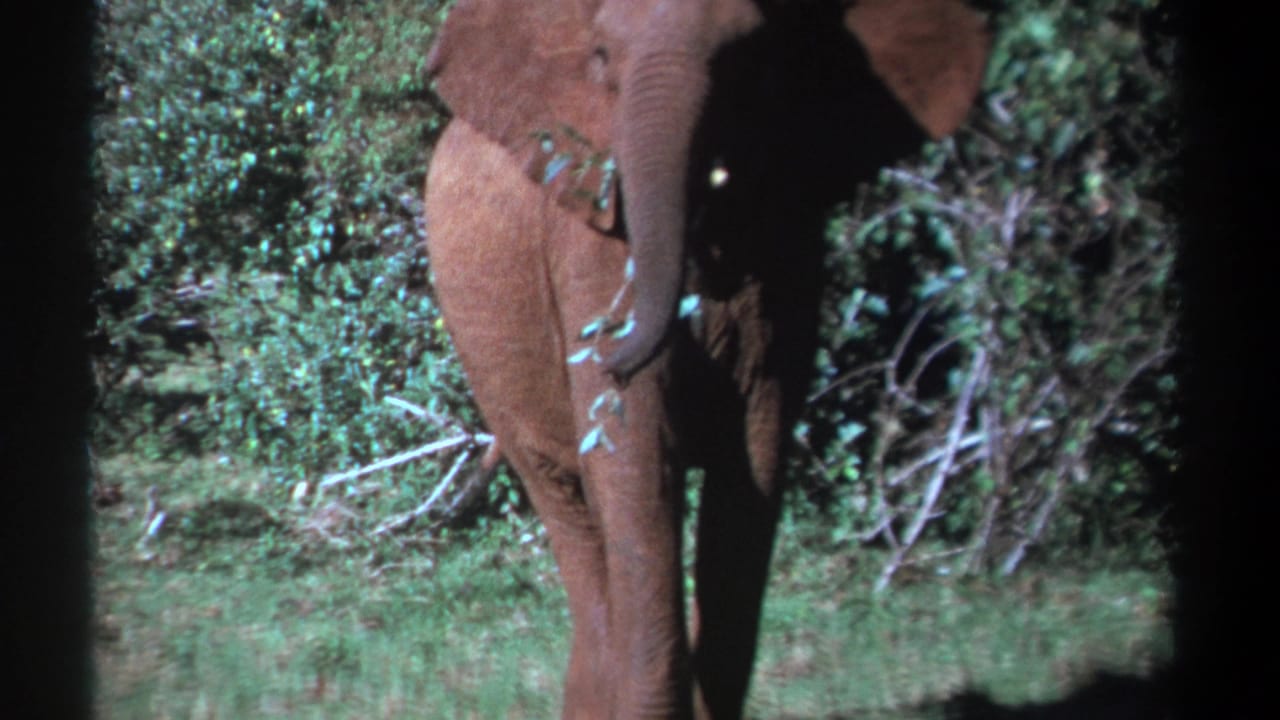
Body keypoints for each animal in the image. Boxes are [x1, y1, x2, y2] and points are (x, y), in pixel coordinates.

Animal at [422, 1, 988, 717]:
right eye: (600, 57)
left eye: (751, 57)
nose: (602, 343)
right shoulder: (587, 240)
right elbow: (636, 464)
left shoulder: (787, 244)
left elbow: (755, 455)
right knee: (569, 509)